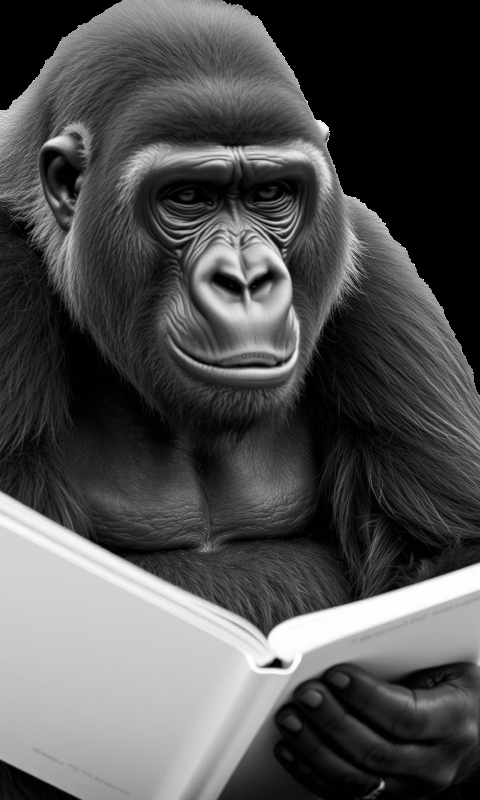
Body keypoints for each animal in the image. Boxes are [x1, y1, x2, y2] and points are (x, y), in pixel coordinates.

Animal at [1, 1, 480, 798]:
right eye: (187, 197)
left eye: (270, 194)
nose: (249, 279)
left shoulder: (374, 266)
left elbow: (449, 553)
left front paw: (437, 719)